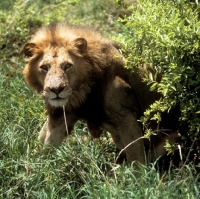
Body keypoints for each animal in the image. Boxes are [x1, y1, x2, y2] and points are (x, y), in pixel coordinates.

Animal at [22, 23, 180, 166]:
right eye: (44, 67)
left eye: (67, 66)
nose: (56, 90)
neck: (82, 92)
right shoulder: (61, 114)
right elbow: (44, 143)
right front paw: (32, 167)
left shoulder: (125, 115)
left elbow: (136, 156)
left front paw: (138, 178)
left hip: (172, 138)